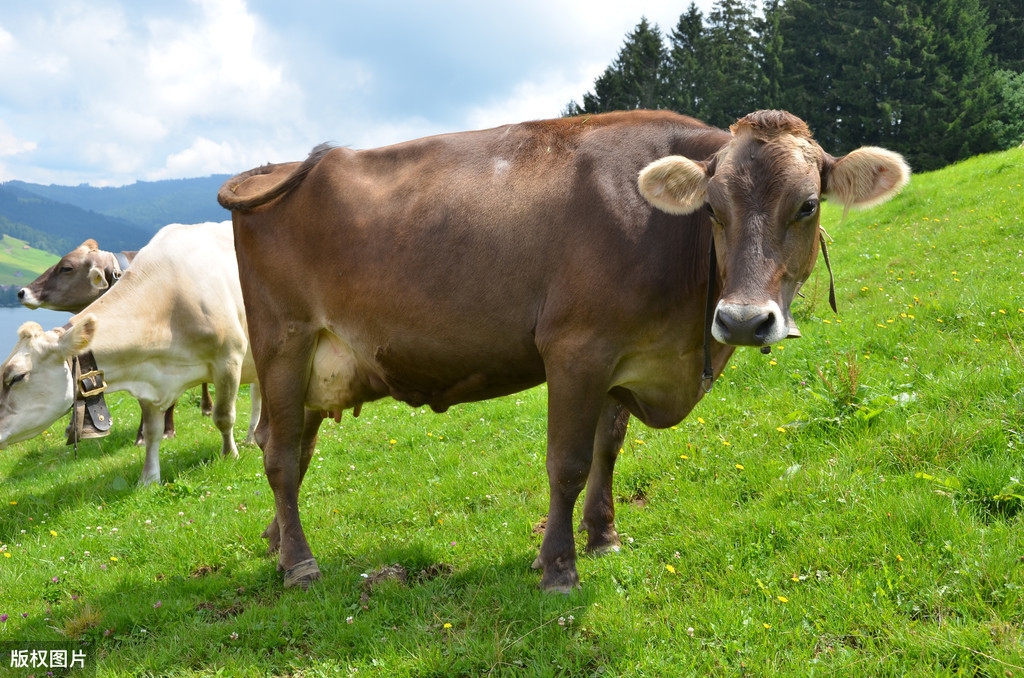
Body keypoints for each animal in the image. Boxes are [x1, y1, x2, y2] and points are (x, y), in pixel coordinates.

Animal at [220, 109, 909, 594]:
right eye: (713, 209)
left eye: (808, 205)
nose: (742, 320)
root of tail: (280, 167)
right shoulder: (576, 350)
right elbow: (569, 464)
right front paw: (558, 567)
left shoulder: (623, 358)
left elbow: (609, 448)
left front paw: (603, 536)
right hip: (283, 342)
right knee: (280, 457)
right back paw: (299, 563)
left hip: (315, 367)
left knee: (291, 448)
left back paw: (275, 542)